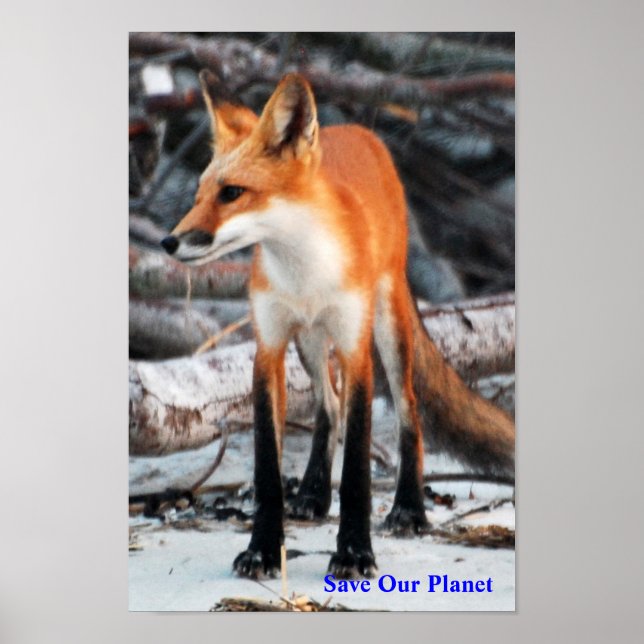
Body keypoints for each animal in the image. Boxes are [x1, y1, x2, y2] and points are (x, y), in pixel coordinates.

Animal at [160, 70, 515, 579]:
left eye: (232, 193)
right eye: (199, 195)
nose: (169, 242)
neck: (305, 273)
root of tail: (355, 130)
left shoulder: (354, 347)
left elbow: (357, 472)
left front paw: (354, 552)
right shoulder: (269, 346)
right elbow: (268, 470)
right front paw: (263, 549)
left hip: (388, 324)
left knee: (408, 410)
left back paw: (409, 508)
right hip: (308, 341)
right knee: (327, 406)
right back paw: (311, 494)